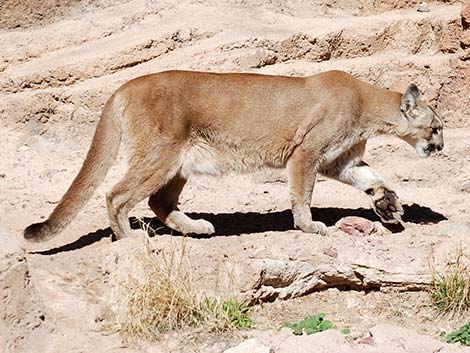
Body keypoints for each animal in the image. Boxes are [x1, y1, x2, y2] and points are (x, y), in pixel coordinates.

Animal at [24, 71, 444, 242]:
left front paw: (388, 205)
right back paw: (129, 237)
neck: (367, 106)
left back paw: (197, 228)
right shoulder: (305, 155)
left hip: (179, 162)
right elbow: (302, 196)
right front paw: (310, 227)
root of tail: (124, 86)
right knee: (117, 196)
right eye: (436, 127)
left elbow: (372, 178)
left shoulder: (337, 160)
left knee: (159, 201)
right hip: (161, 155)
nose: (442, 147)